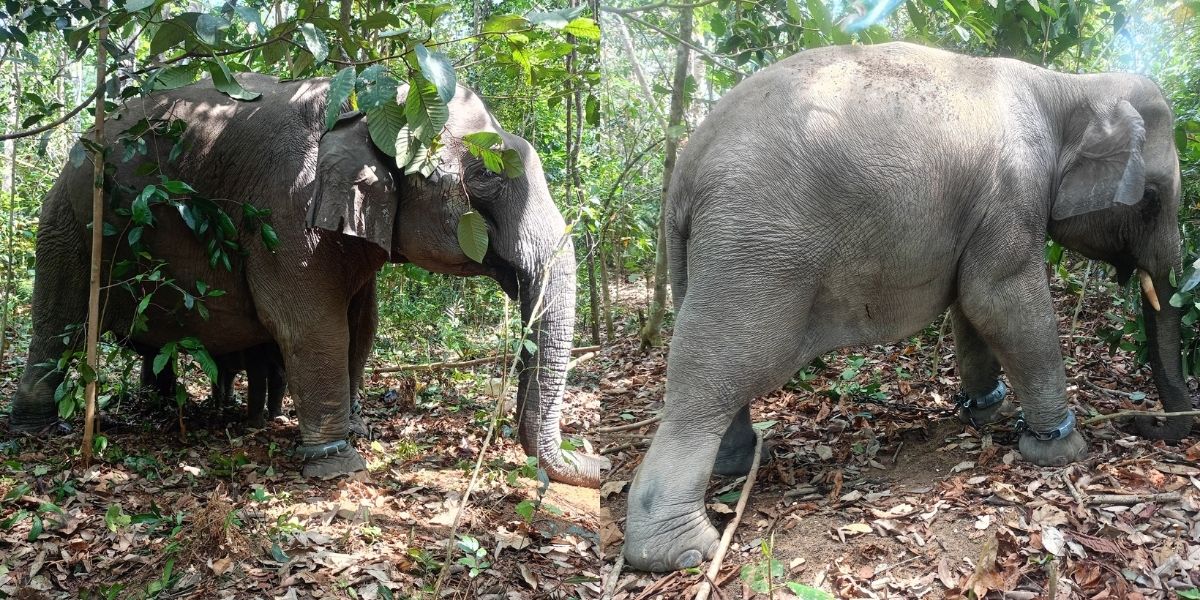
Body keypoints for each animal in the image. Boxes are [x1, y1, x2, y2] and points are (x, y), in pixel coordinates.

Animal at [8, 73, 603, 487]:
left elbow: (363, 324)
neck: (369, 98)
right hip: (69, 218)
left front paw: (355, 431)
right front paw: (337, 464)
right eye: (483, 180)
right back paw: (39, 430)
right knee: (57, 321)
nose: (592, 462)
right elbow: (309, 326)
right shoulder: (285, 210)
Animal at [623, 42, 1193, 571]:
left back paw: (741, 463)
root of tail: (685, 169)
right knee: (717, 371)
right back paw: (679, 551)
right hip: (753, 250)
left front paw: (984, 413)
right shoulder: (1013, 189)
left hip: (702, 257)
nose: (1144, 424)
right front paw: (1061, 452)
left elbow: (972, 306)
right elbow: (1000, 297)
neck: (1068, 86)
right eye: (1152, 199)